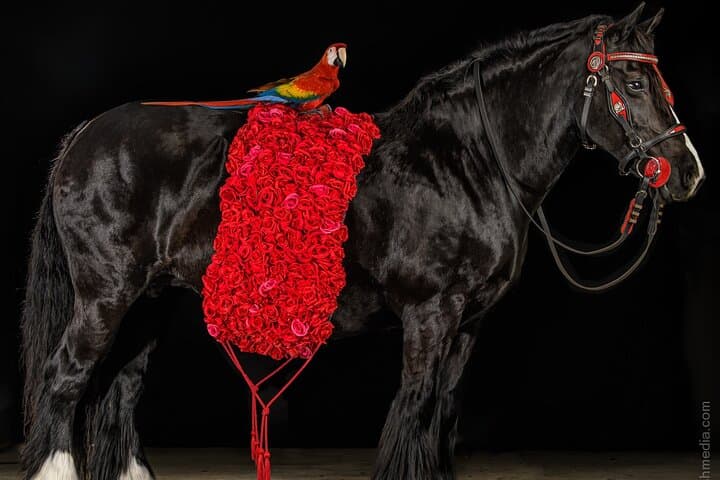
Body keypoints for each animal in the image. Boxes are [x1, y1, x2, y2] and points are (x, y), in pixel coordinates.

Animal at [21, 4, 704, 479]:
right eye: (634, 85)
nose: (687, 171)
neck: (463, 161)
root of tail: (85, 135)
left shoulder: (468, 325)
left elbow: (441, 416)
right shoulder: (431, 314)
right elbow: (415, 411)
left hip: (149, 303)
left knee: (118, 392)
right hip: (105, 297)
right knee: (64, 380)